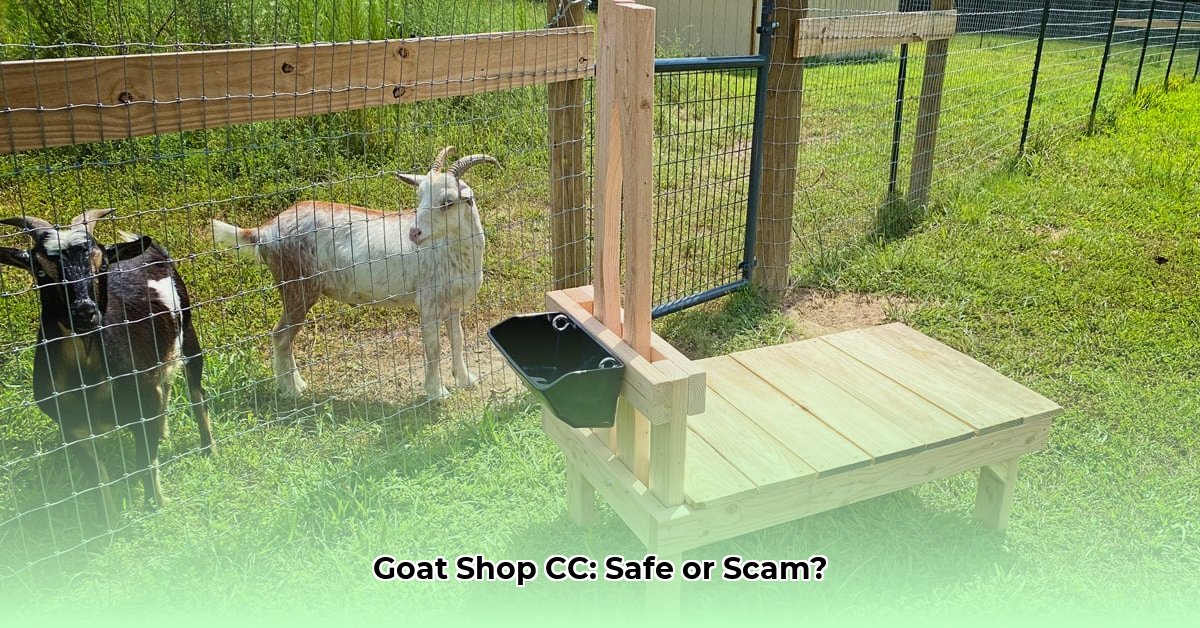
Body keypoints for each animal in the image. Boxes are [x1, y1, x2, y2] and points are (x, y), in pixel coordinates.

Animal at [0, 210, 215, 527]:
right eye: (39, 271)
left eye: (101, 265)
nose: (85, 312)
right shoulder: (72, 427)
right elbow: (96, 478)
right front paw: (109, 523)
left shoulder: (143, 406)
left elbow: (144, 462)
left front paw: (155, 507)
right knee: (165, 385)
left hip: (187, 334)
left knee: (196, 392)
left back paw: (209, 448)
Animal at [211, 147, 498, 401]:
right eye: (420, 198)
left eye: (448, 202)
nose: (414, 232)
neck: (453, 250)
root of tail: (265, 231)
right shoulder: (428, 301)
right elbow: (434, 347)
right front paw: (437, 393)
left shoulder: (452, 302)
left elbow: (458, 339)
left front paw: (466, 379)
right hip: (298, 286)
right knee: (281, 335)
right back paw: (291, 390)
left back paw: (297, 384)